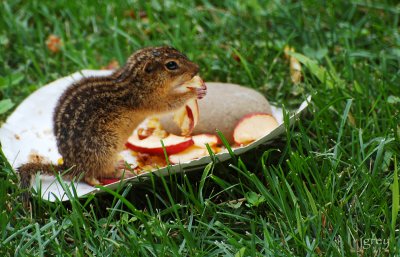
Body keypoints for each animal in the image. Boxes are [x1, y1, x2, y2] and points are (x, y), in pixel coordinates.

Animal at [16, 46, 205, 201]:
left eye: (177, 50)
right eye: (171, 65)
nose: (197, 68)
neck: (134, 82)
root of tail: (71, 167)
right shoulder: (149, 100)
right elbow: (170, 104)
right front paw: (194, 92)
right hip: (104, 147)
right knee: (92, 177)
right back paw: (119, 173)